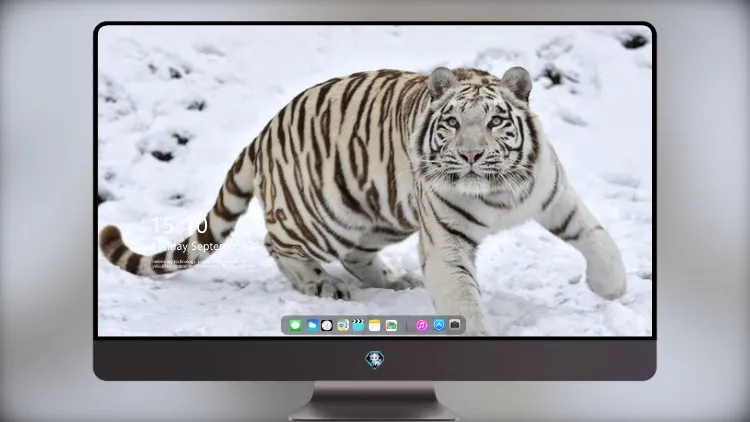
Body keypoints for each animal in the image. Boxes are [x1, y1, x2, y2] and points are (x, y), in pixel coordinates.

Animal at [98, 65, 627, 336]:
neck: (497, 191)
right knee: (278, 244)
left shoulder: (553, 195)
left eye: (496, 121)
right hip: (320, 216)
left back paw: (393, 281)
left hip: (381, 213)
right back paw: (322, 285)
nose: (471, 154)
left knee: (357, 254)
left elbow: (598, 238)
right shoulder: (446, 244)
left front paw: (611, 290)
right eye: (453, 123)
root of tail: (264, 131)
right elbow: (464, 300)